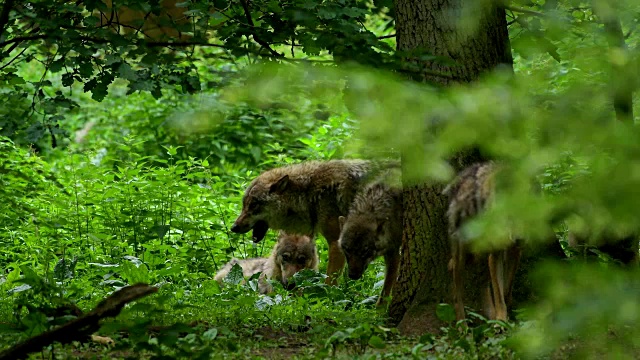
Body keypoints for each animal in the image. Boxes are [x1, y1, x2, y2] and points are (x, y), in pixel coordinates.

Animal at [230, 159, 396, 286]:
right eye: (244, 205)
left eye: (253, 205)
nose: (233, 227)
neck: (310, 195)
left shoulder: (336, 244)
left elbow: (330, 280)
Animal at [338, 168, 402, 306]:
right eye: (347, 250)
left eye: (365, 251)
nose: (353, 275)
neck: (370, 207)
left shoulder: (393, 254)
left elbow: (384, 293)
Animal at [442, 162, 524, 322]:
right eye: (509, 217)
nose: (520, 238)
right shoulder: (496, 254)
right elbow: (499, 294)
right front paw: (501, 320)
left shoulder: (515, 251)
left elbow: (506, 287)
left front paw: (505, 309)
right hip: (462, 255)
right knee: (457, 295)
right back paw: (463, 324)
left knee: (482, 280)